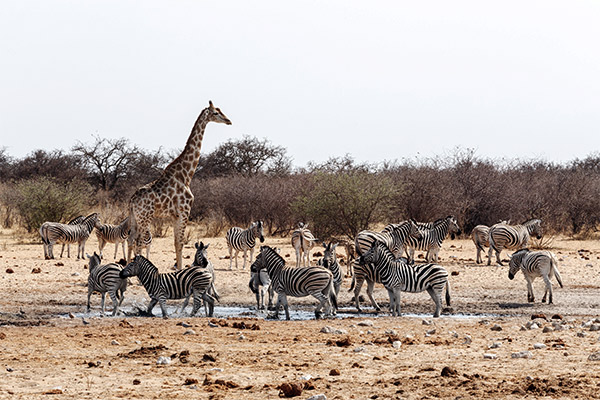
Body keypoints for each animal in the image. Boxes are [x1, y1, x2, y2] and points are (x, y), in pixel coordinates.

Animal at [127, 100, 231, 270]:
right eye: (216, 113)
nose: (229, 120)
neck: (186, 175)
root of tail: (131, 201)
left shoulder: (176, 215)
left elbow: (176, 243)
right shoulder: (185, 211)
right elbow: (180, 243)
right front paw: (181, 270)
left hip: (134, 218)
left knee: (130, 240)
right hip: (145, 218)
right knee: (139, 242)